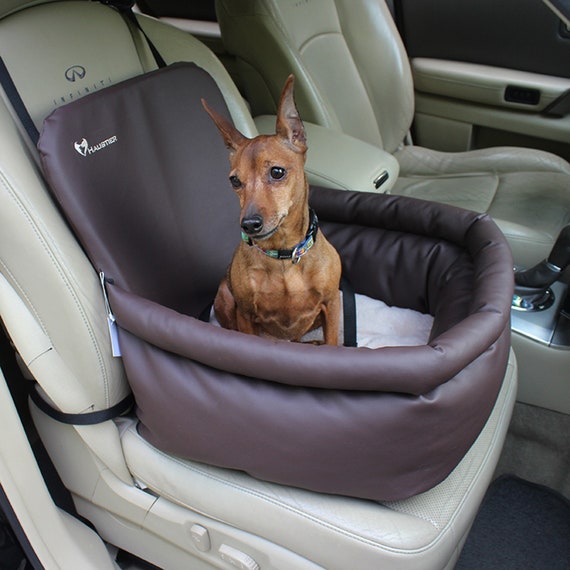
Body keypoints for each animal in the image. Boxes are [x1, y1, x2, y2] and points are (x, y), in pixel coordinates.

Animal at [202, 74, 340, 342]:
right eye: (235, 181)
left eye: (277, 172)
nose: (249, 224)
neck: (284, 255)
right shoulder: (246, 314)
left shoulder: (332, 303)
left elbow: (334, 343)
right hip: (224, 296)